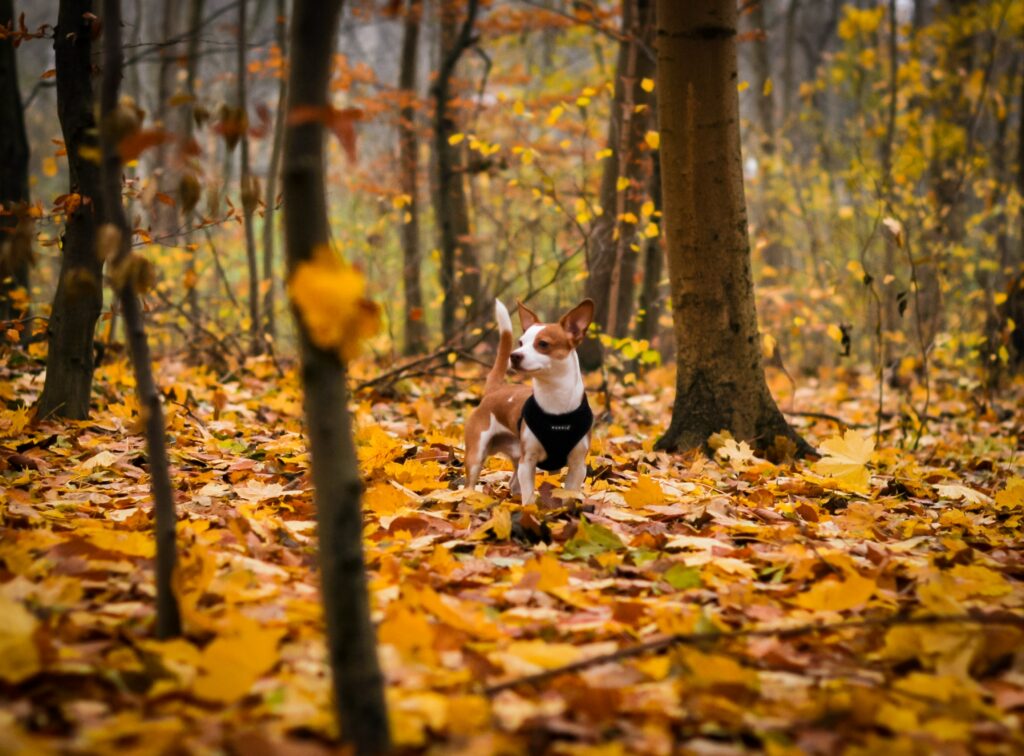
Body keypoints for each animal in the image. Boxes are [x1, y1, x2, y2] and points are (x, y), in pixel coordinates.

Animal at [462, 297, 593, 504]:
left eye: (543, 344)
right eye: (521, 342)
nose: (514, 355)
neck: (555, 405)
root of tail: (495, 390)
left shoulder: (578, 465)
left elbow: (569, 495)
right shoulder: (528, 461)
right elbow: (529, 497)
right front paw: (530, 509)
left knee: (513, 484)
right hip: (476, 455)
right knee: (470, 483)